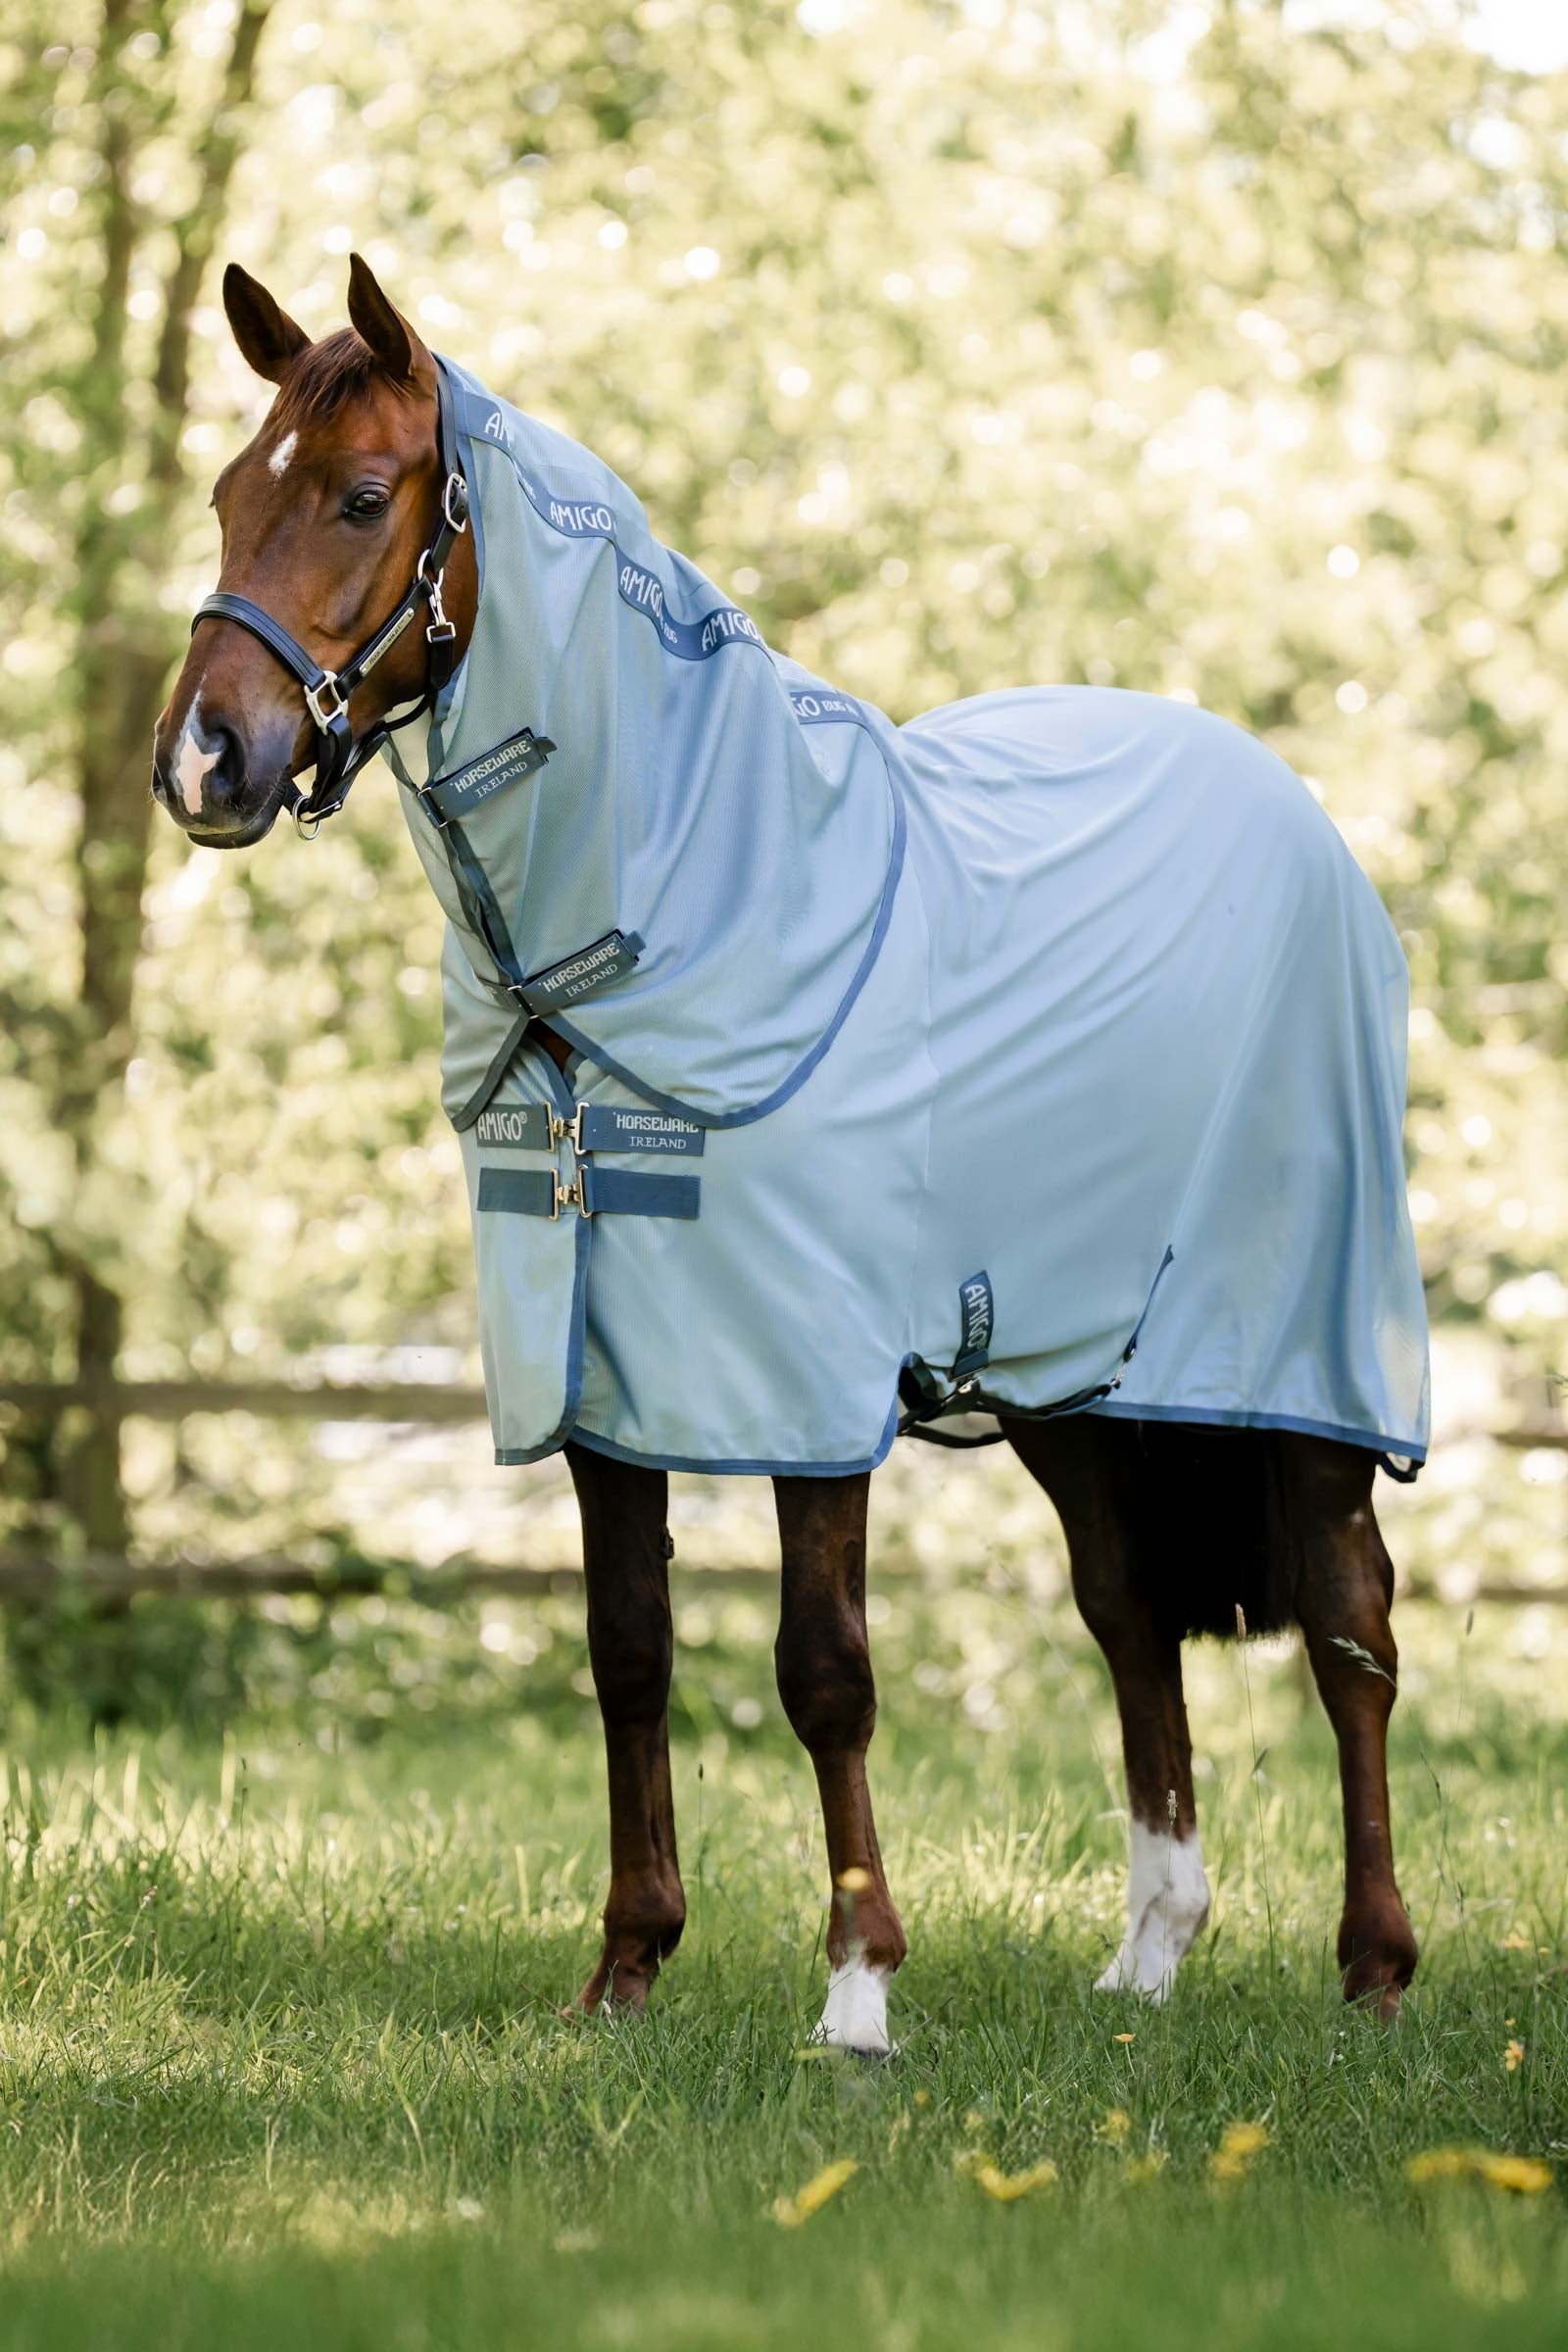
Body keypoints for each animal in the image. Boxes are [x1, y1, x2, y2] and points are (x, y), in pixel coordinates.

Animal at [151, 256, 1426, 2045]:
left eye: (357, 495)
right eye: (222, 494)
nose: (204, 762)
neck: (698, 900)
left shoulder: (809, 1382)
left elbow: (823, 1668)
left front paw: (858, 1995)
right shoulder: (596, 1377)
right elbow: (627, 1648)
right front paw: (624, 1971)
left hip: (1303, 1355)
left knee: (1349, 1622)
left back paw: (1374, 1966)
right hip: (1072, 1375)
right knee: (1128, 1613)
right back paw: (1150, 1957)